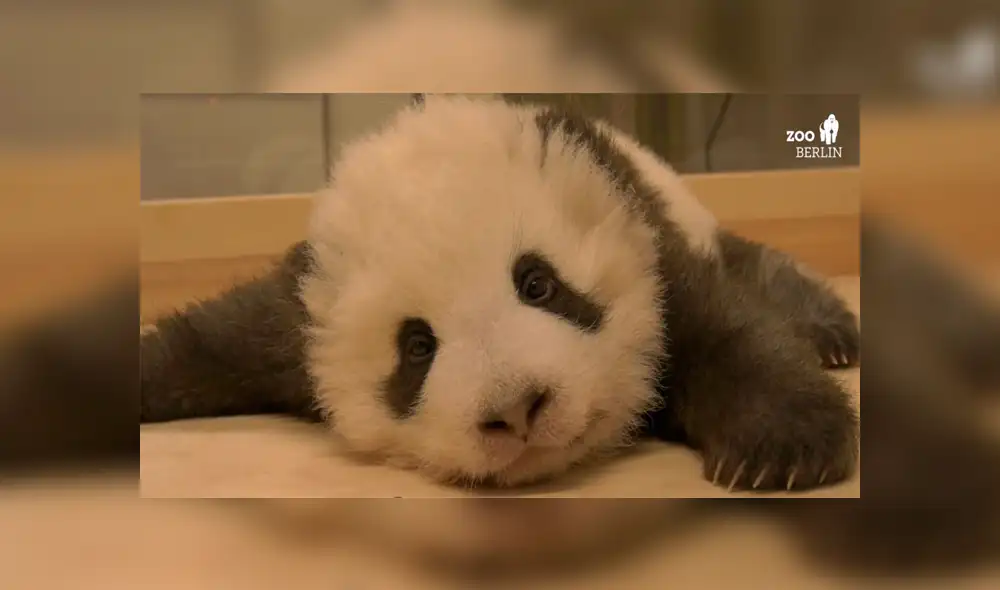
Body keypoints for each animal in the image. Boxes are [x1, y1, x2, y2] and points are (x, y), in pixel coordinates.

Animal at [141, 95, 860, 492]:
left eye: (538, 283)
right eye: (417, 347)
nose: (516, 411)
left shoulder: (651, 249)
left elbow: (729, 330)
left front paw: (783, 446)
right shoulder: (293, 324)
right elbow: (213, 339)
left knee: (755, 268)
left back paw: (831, 333)